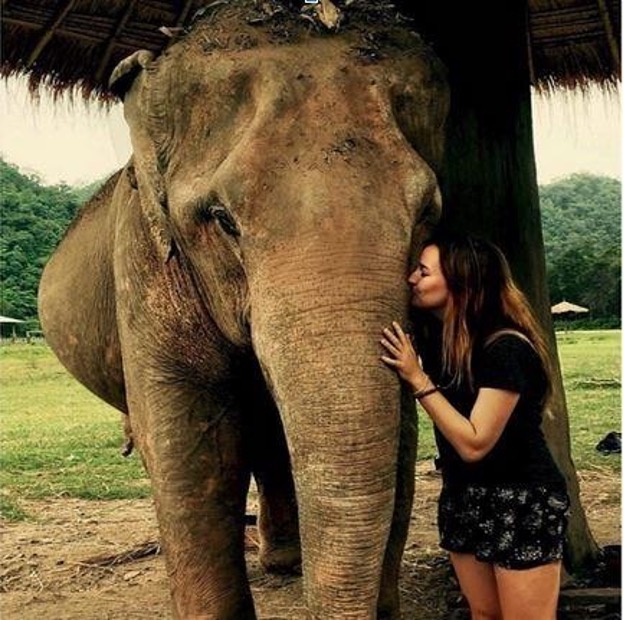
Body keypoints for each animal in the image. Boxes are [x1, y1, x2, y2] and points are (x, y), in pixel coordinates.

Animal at [37, 3, 448, 616]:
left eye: (426, 212)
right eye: (222, 218)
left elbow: (398, 430)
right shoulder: (145, 258)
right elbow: (192, 444)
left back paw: (282, 562)